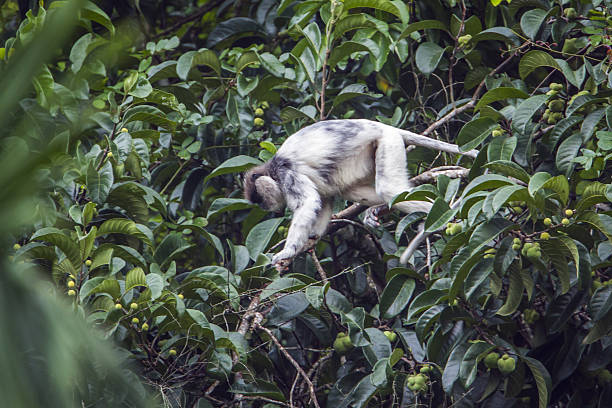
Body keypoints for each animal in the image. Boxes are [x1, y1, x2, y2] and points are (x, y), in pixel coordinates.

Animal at [244, 118, 478, 270]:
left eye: (260, 199)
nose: (264, 207)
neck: (272, 168)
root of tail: (383, 126)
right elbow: (323, 201)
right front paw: (311, 238)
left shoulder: (286, 173)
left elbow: (308, 202)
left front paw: (289, 251)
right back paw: (378, 209)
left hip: (388, 141)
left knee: (388, 189)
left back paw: (441, 217)